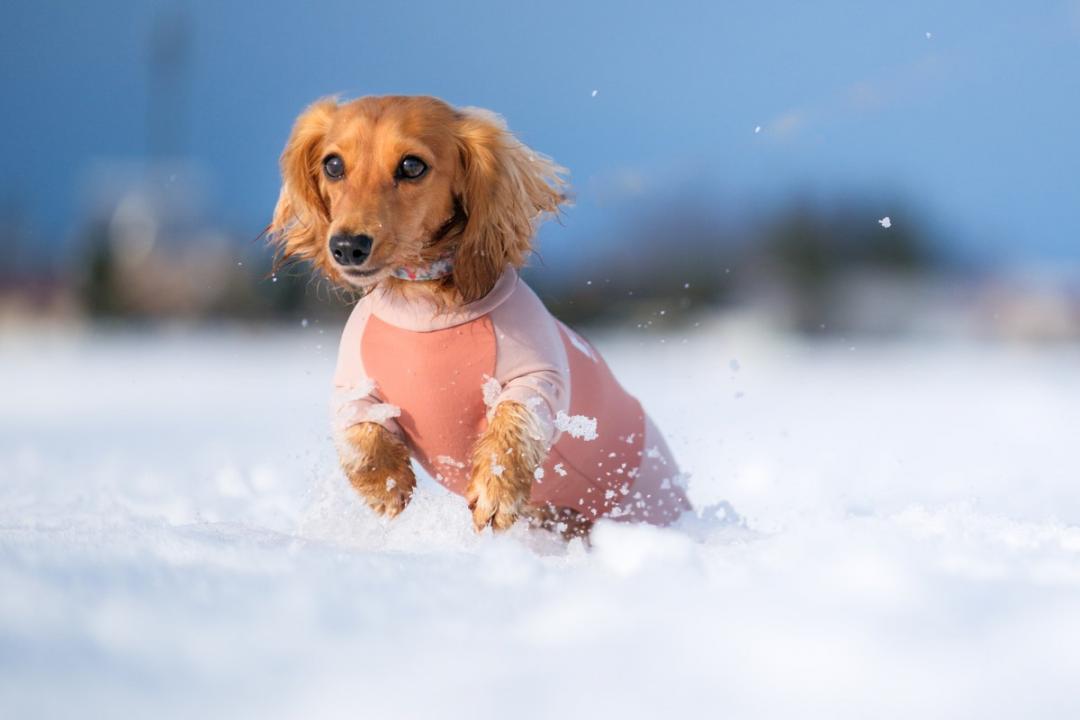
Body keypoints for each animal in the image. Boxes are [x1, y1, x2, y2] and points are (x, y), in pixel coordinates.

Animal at [270, 94, 691, 535]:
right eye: (333, 165)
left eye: (412, 166)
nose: (347, 246)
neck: (423, 307)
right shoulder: (353, 387)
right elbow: (357, 429)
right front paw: (385, 483)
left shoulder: (539, 378)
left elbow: (516, 420)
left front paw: (497, 490)